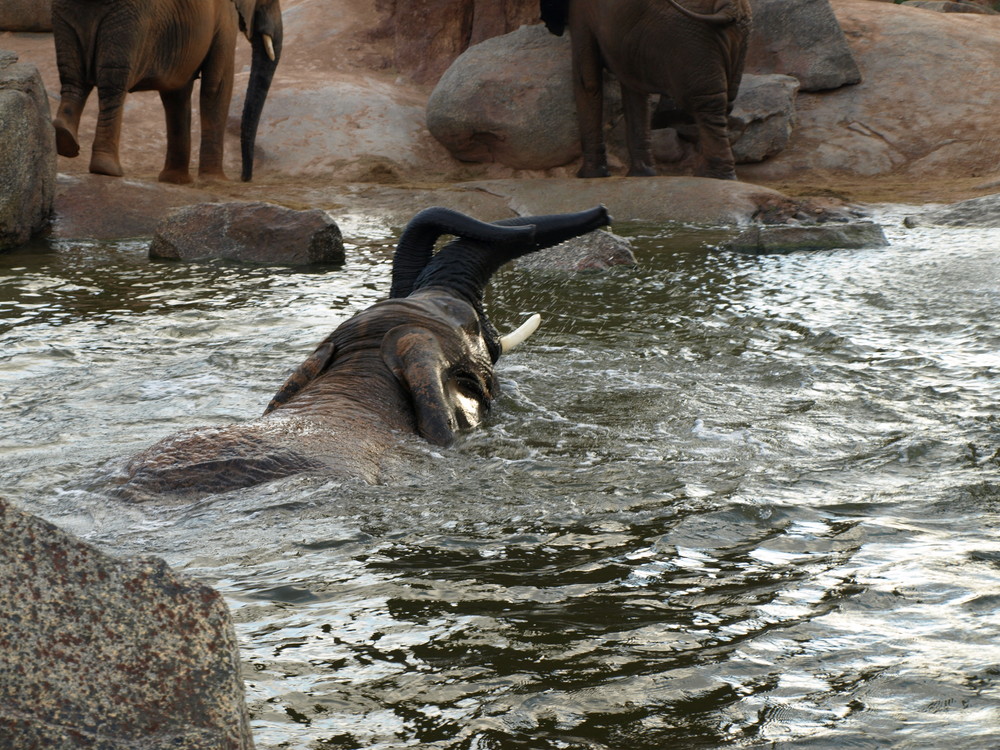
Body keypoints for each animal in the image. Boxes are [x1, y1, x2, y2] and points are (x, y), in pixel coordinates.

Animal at [53, 0, 284, 184]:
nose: (245, 178)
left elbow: (176, 93)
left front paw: (174, 180)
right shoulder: (225, 16)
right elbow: (217, 85)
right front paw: (216, 181)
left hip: (68, 11)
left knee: (73, 75)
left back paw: (64, 138)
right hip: (128, 15)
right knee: (113, 81)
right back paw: (107, 169)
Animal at [540, 0, 752, 181]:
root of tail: (730, 7)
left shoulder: (582, 13)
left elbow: (587, 80)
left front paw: (589, 176)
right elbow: (633, 91)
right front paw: (642, 175)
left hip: (690, 39)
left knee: (704, 103)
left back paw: (712, 176)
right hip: (734, 40)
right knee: (722, 103)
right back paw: (719, 176)